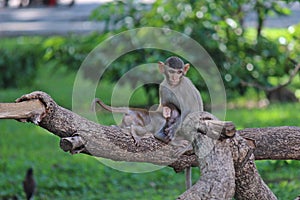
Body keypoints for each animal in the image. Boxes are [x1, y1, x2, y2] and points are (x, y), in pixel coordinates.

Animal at [157, 55, 204, 189]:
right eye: (172, 72)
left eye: (179, 72)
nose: (175, 78)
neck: (174, 86)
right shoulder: (163, 87)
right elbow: (163, 106)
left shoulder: (185, 86)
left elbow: (189, 109)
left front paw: (172, 130)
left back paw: (187, 145)